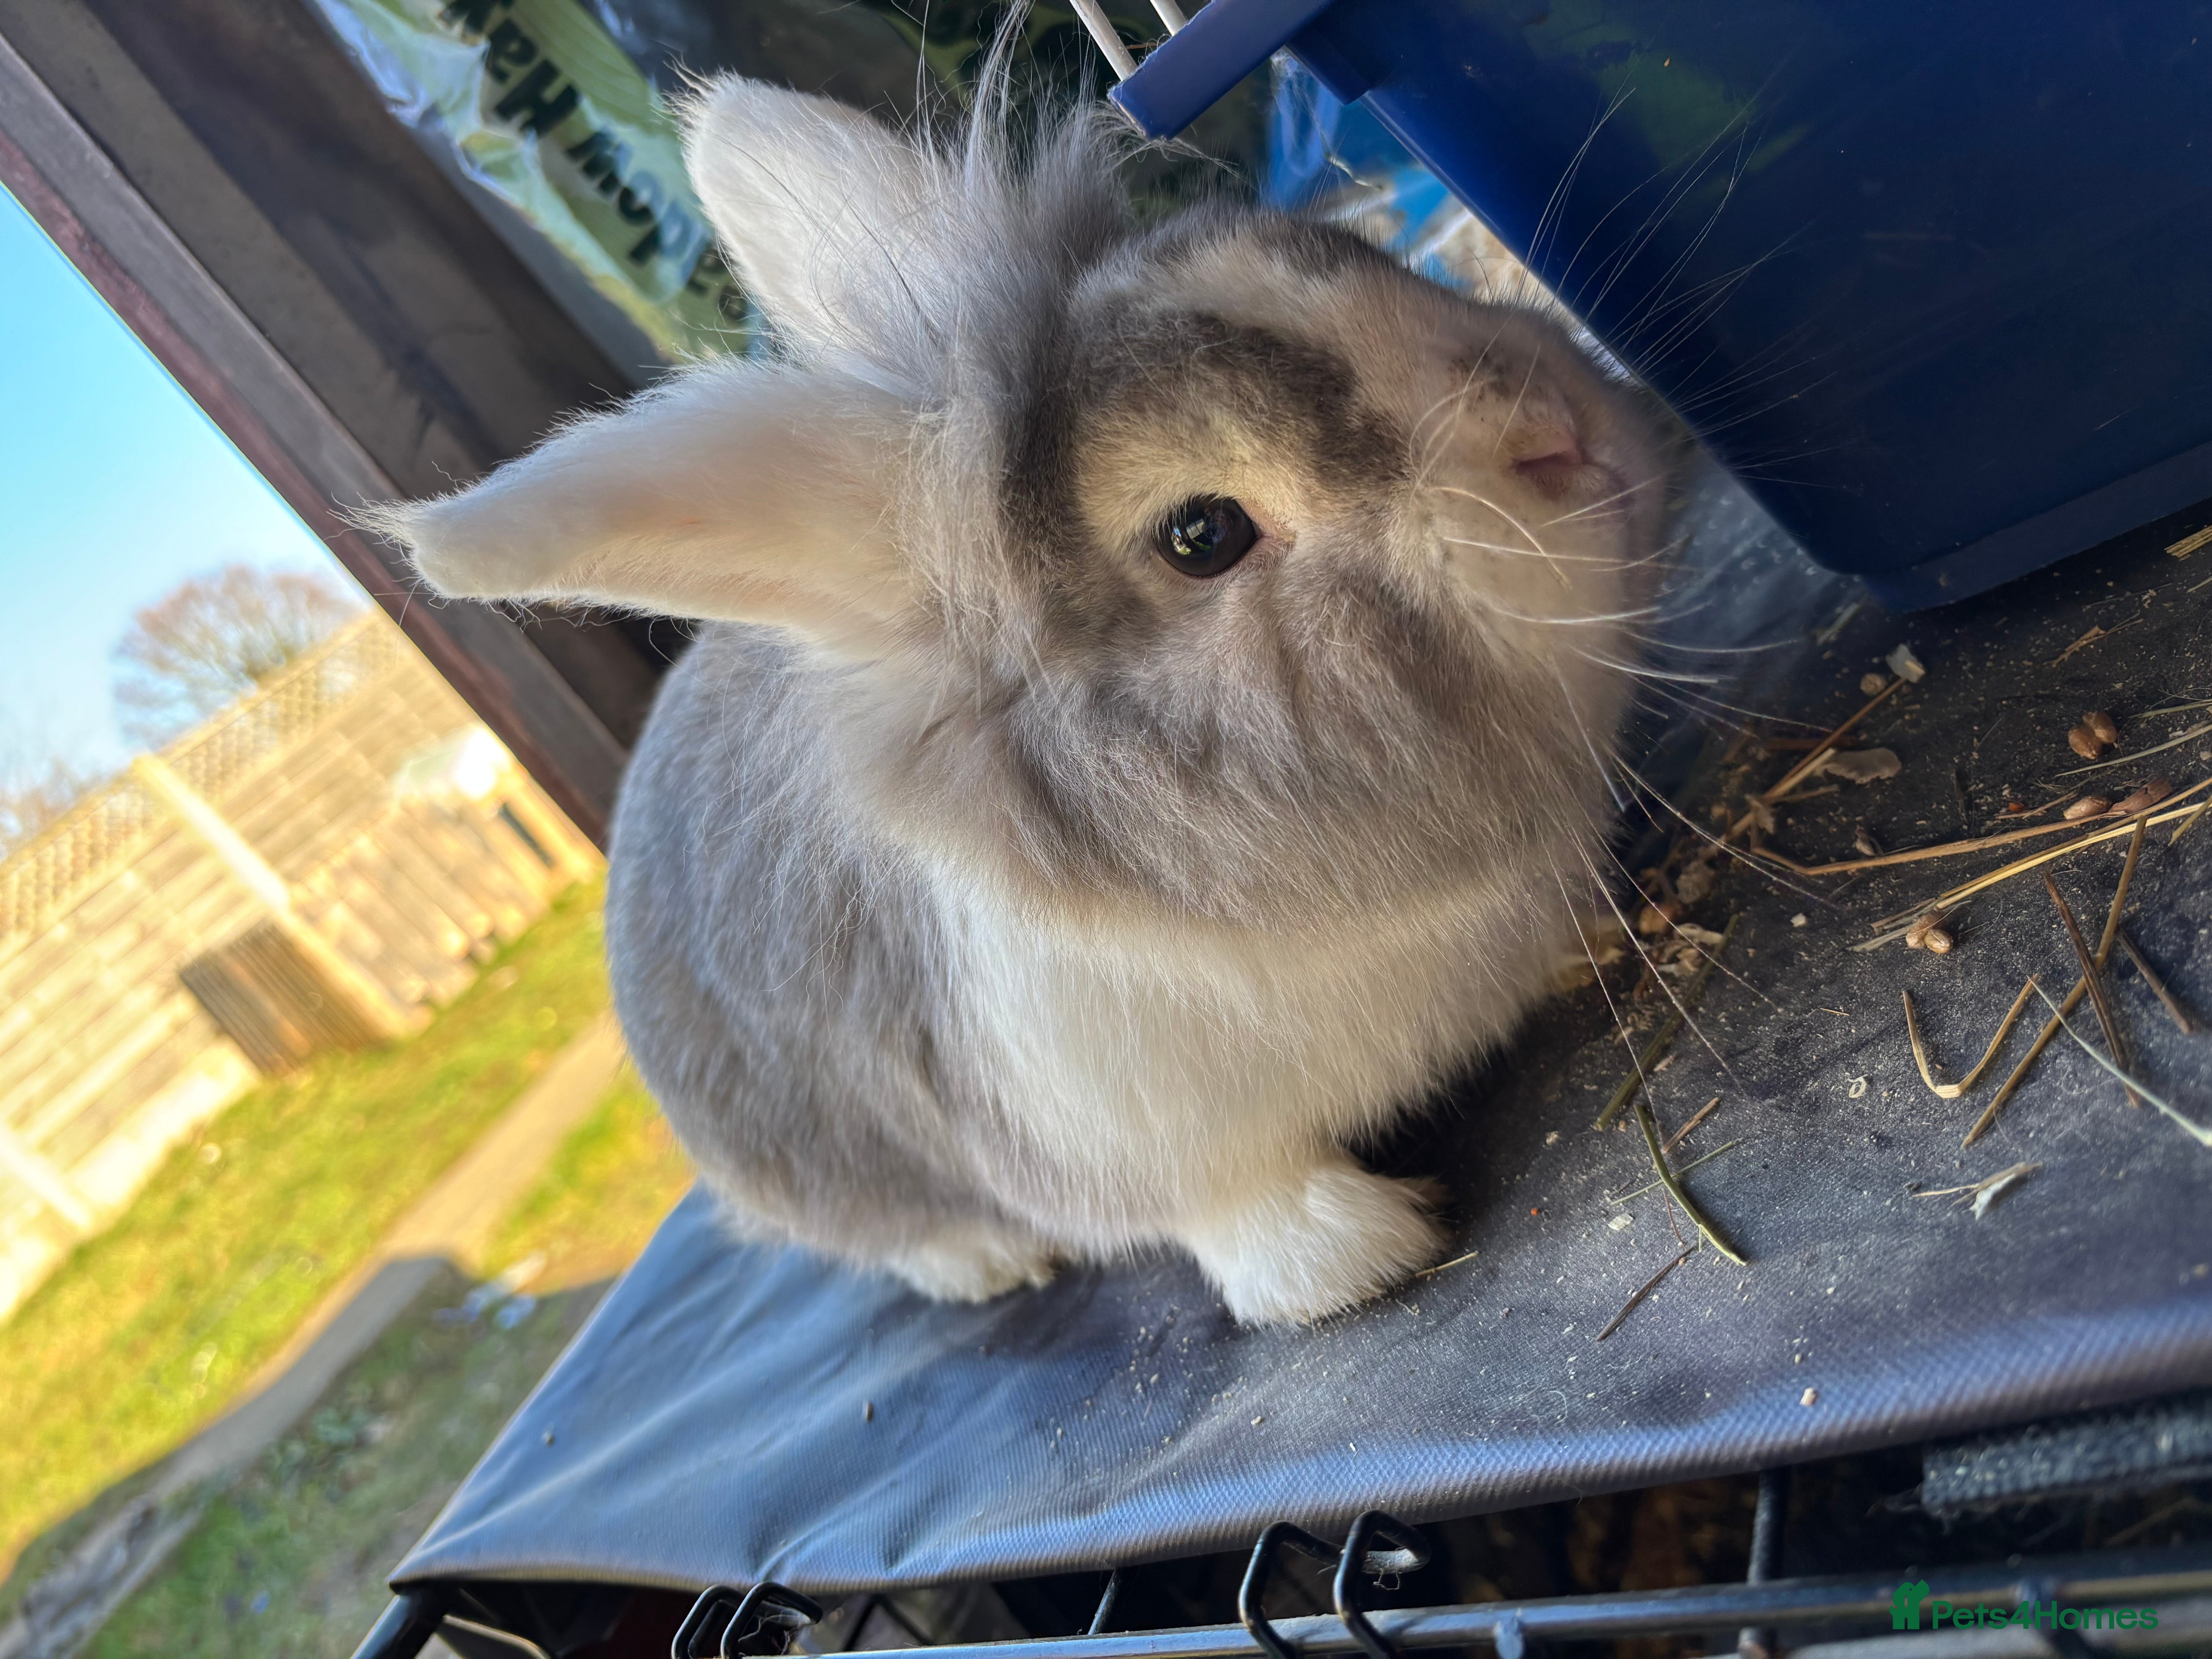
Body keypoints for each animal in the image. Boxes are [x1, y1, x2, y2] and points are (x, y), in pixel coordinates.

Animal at [372, 71, 1673, 1325]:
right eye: (1202, 534)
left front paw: (1593, 946)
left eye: (1346, 256)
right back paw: (985, 1263)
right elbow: (1240, 1213)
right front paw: (1355, 1255)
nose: (1556, 426)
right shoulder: (1134, 1141)